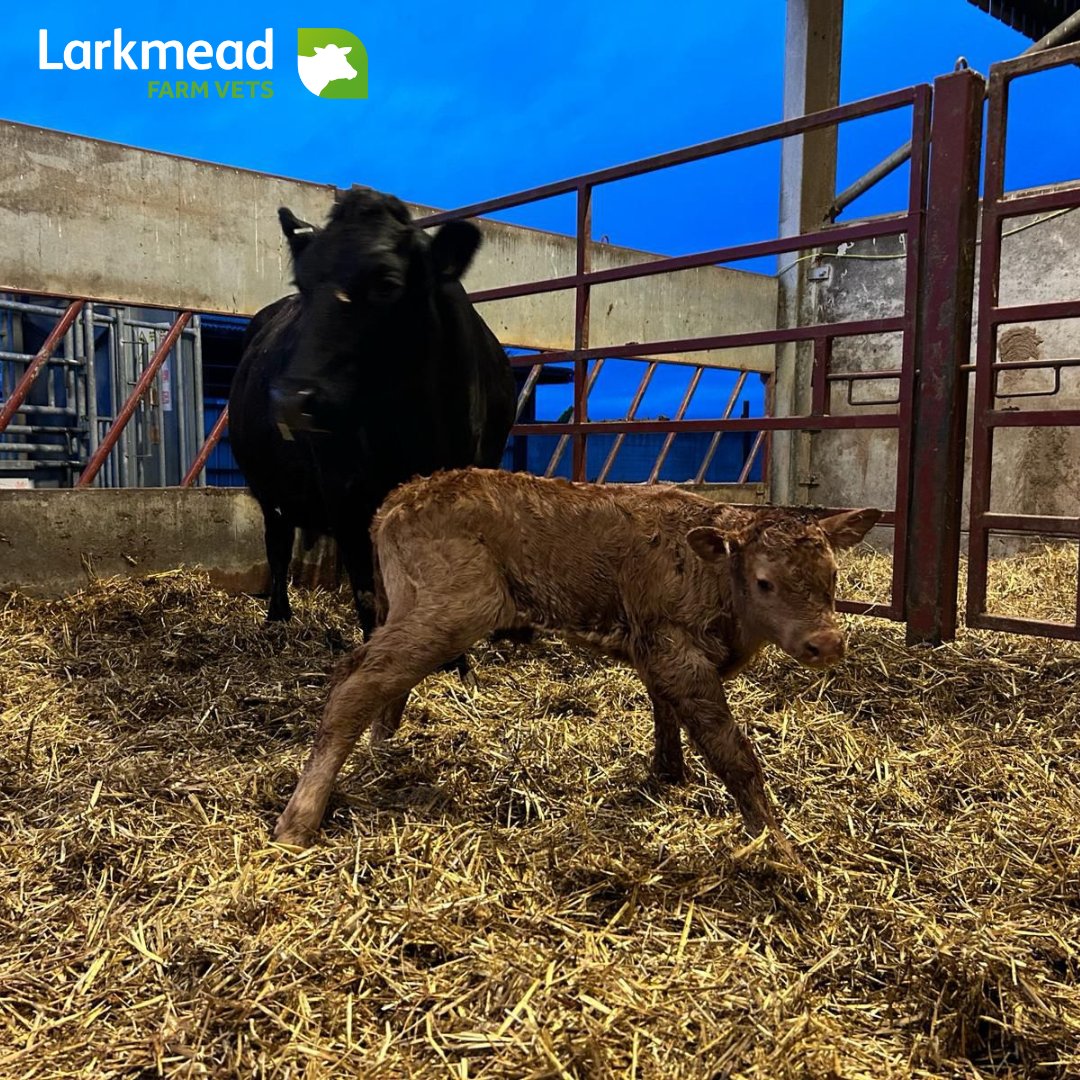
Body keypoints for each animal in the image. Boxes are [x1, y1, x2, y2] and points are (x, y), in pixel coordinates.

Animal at [228, 188, 516, 633]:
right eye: (302, 283)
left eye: (386, 284)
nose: (290, 399)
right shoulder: (347, 500)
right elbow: (367, 597)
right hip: (267, 488)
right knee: (277, 545)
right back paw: (278, 615)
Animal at [273, 468, 881, 863]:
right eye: (764, 581)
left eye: (832, 577)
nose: (827, 643)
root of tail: (404, 494)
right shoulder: (676, 651)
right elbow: (734, 754)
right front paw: (781, 851)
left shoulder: (654, 648)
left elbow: (666, 714)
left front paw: (669, 775)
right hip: (453, 607)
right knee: (359, 683)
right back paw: (297, 823)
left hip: (411, 606)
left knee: (365, 671)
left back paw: (382, 747)